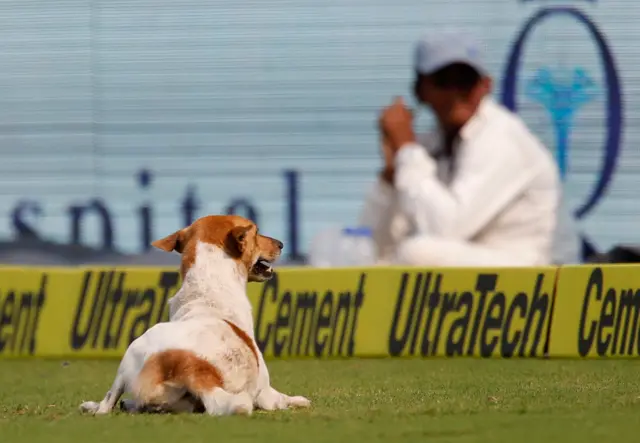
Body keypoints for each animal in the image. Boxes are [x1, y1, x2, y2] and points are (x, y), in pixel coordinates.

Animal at [79, 215, 310, 416]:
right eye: (256, 232)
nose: (281, 244)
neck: (208, 282)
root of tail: (189, 365)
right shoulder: (265, 392)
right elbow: (283, 399)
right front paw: (299, 400)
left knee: (110, 404)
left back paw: (110, 405)